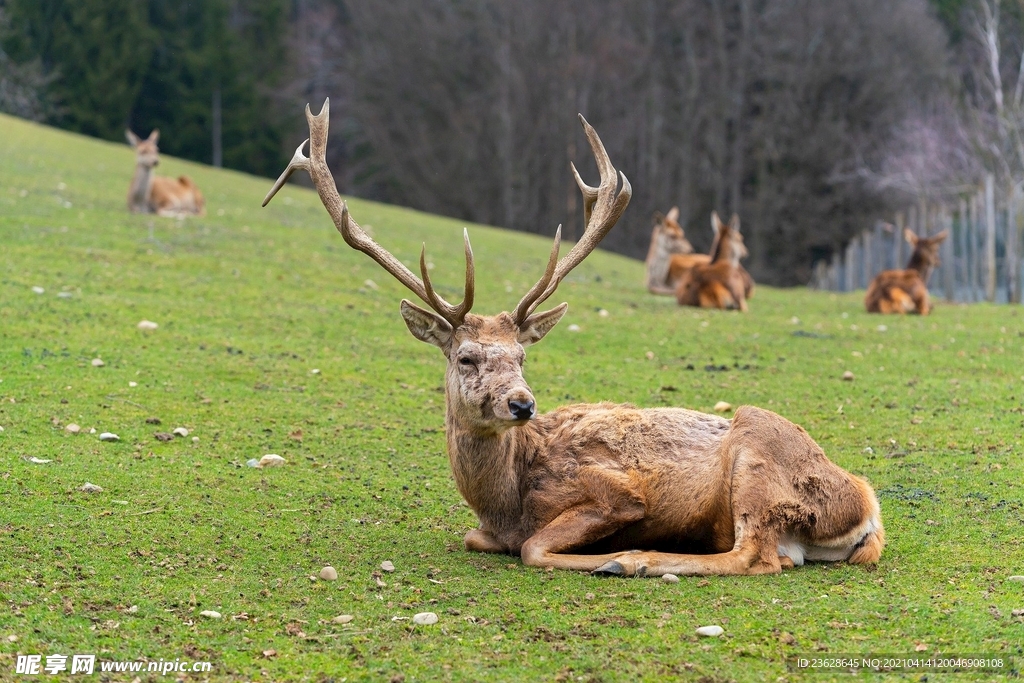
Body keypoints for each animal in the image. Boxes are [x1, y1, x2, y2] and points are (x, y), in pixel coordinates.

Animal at [266, 100, 888, 577]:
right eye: (466, 357)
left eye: (522, 354)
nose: (521, 403)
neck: (506, 499)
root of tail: (867, 505)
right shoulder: (487, 527)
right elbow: (477, 537)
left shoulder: (616, 491)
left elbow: (535, 546)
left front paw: (609, 553)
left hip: (757, 459)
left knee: (756, 556)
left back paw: (634, 560)